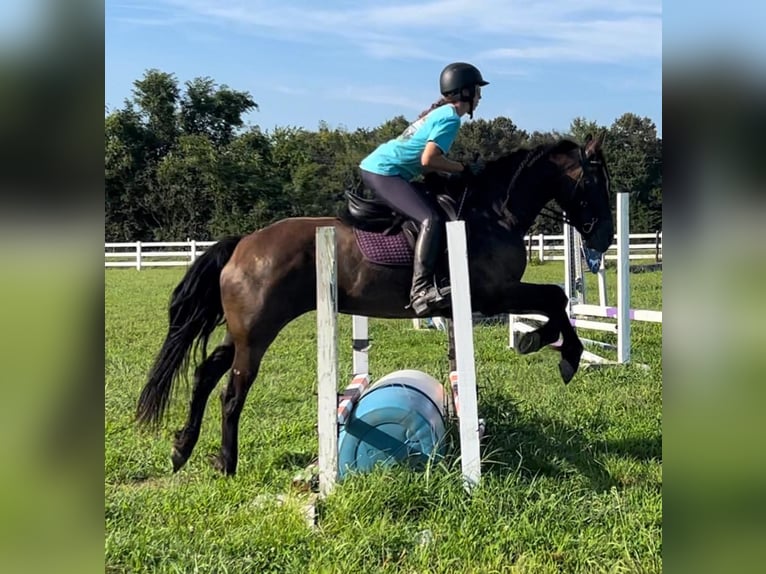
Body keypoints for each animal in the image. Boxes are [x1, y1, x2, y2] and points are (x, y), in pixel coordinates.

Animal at [138, 133, 616, 474]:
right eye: (595, 183)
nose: (604, 237)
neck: (493, 213)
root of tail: (242, 244)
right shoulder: (491, 293)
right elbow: (555, 297)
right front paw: (563, 353)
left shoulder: (493, 295)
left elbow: (555, 300)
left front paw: (545, 343)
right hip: (257, 333)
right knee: (231, 392)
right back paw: (226, 463)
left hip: (244, 331)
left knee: (205, 373)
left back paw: (183, 449)